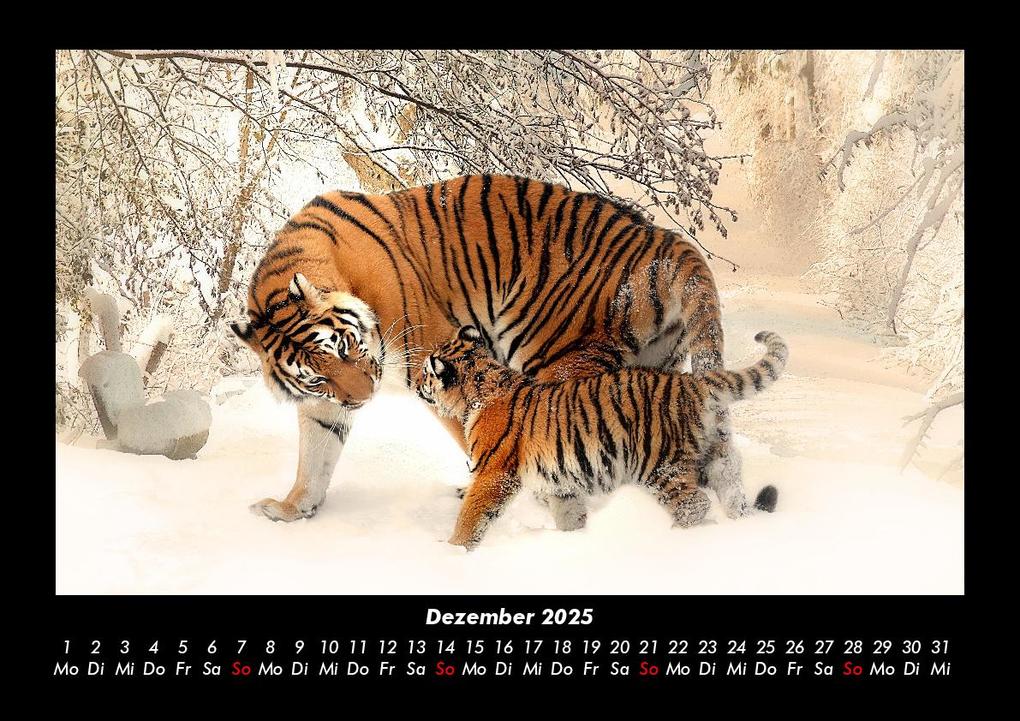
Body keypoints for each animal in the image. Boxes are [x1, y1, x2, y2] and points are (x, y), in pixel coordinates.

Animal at [230, 174, 751, 525]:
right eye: (317, 375)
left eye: (344, 347)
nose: (363, 399)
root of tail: (663, 239)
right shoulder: (324, 403)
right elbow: (315, 454)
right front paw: (292, 509)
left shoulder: (432, 355)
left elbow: (480, 437)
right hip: (653, 368)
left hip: (558, 358)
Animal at [416, 326, 786, 549]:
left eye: (425, 372)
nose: (418, 385)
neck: (479, 389)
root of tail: (692, 382)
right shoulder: (560, 483)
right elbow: (569, 514)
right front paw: (575, 541)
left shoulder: (493, 474)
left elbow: (471, 516)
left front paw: (453, 552)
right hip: (714, 456)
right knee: (731, 490)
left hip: (660, 465)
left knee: (694, 504)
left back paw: (672, 539)